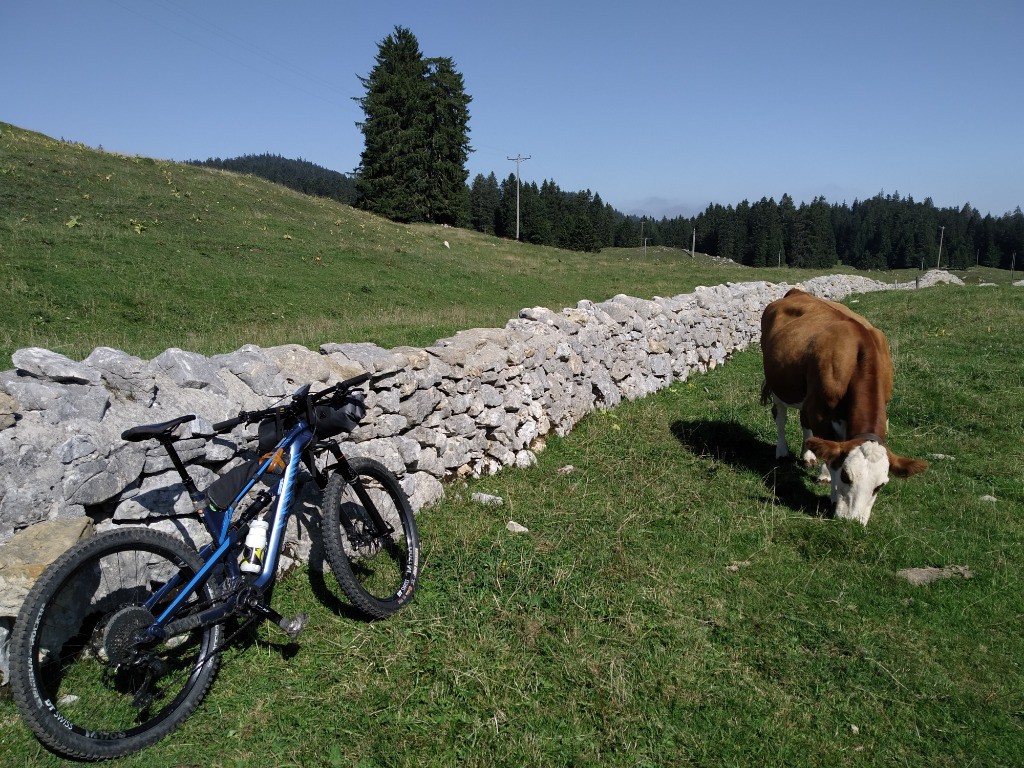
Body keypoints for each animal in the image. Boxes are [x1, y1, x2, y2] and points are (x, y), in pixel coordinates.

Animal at [761, 290, 929, 528]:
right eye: (846, 477)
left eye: (880, 486)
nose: (852, 522)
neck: (858, 357)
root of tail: (797, 291)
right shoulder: (820, 412)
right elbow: (831, 455)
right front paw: (831, 489)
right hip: (779, 384)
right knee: (781, 417)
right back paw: (782, 451)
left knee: (804, 422)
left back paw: (808, 455)